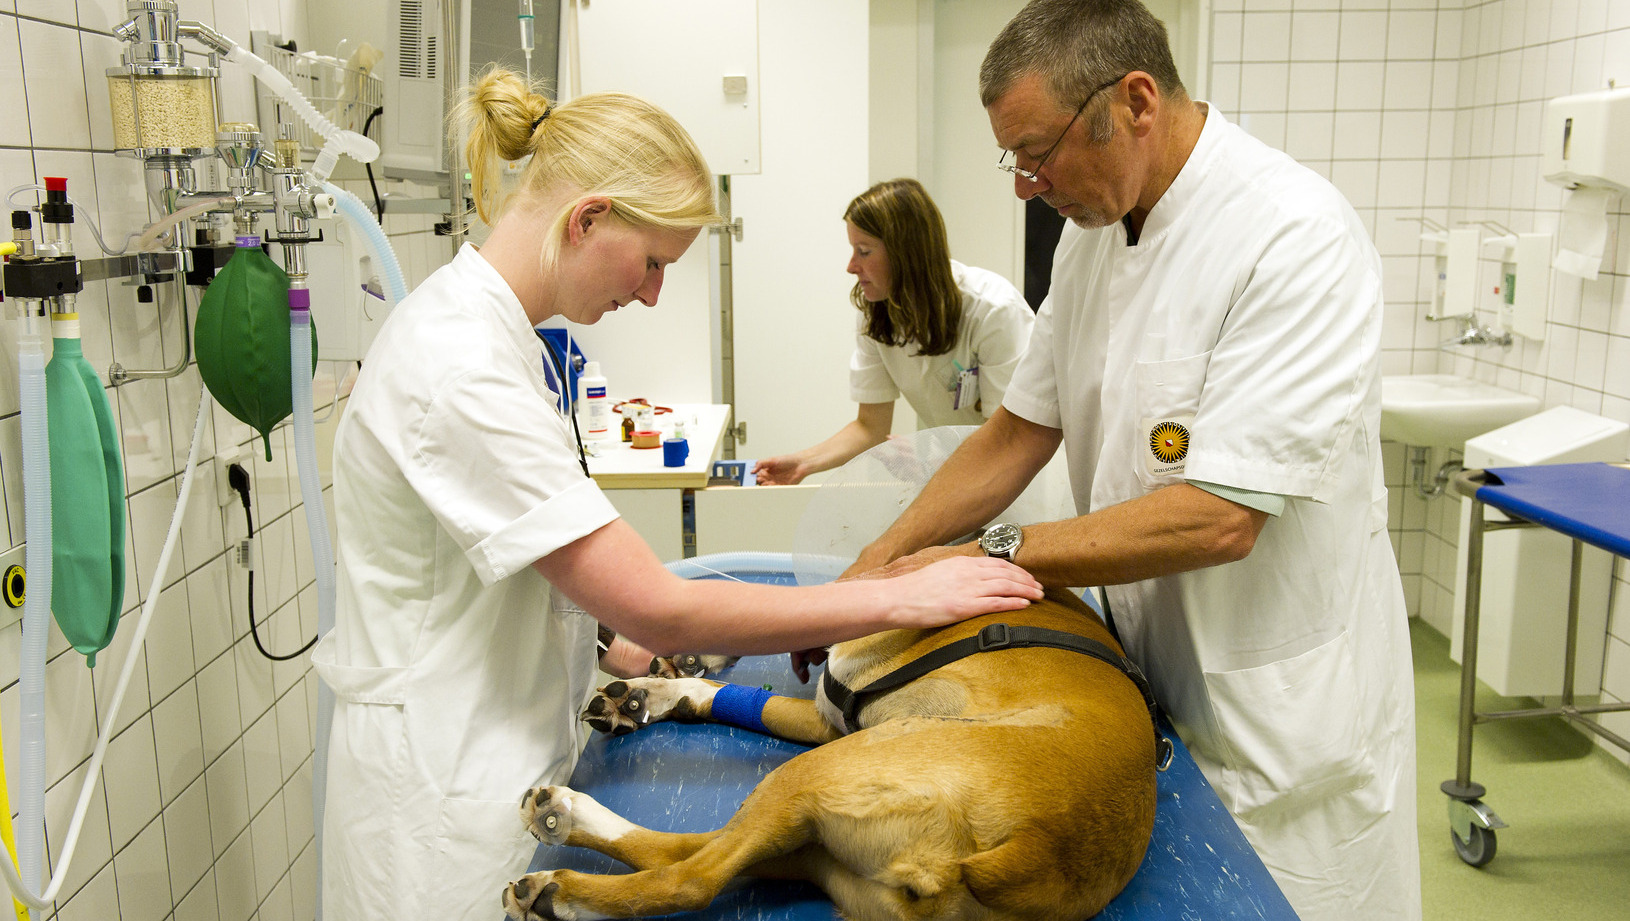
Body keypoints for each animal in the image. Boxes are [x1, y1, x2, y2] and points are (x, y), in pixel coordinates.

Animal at [502, 590, 1154, 919]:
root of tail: (1033, 846)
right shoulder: (824, 723)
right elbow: (738, 700)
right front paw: (652, 695)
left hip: (813, 778)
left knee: (692, 876)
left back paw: (561, 890)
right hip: (827, 848)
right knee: (694, 850)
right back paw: (564, 820)